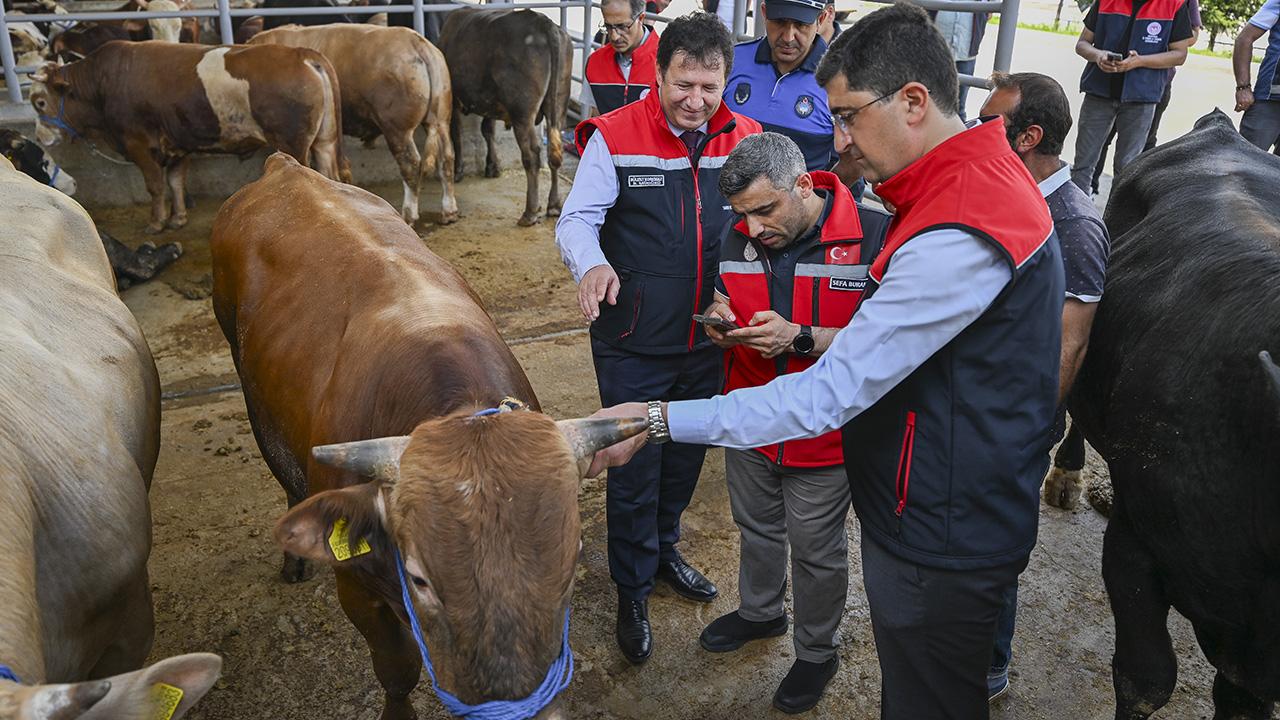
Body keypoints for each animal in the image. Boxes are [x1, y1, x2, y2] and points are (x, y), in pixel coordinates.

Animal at [247, 23, 458, 222]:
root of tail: (417, 42)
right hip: (441, 121)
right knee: (446, 159)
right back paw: (448, 211)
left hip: (397, 129)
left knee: (411, 164)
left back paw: (409, 214)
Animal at [440, 5, 570, 224]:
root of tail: (543, 21)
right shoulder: (491, 102)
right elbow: (488, 130)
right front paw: (493, 166)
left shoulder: (454, 98)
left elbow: (456, 134)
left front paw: (459, 171)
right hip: (558, 104)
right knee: (554, 153)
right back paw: (554, 205)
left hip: (522, 113)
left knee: (532, 154)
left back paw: (529, 212)